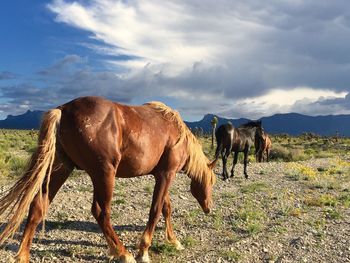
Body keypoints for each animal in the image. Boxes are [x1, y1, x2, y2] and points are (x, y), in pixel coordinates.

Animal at [0, 97, 216, 263]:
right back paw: (122, 253)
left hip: (61, 169)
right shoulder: (166, 174)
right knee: (101, 212)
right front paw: (143, 250)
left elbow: (166, 208)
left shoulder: (160, 175)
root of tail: (63, 110)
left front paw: (174, 241)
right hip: (104, 174)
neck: (176, 132)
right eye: (212, 182)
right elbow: (155, 211)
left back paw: (23, 255)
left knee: (38, 205)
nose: (209, 208)